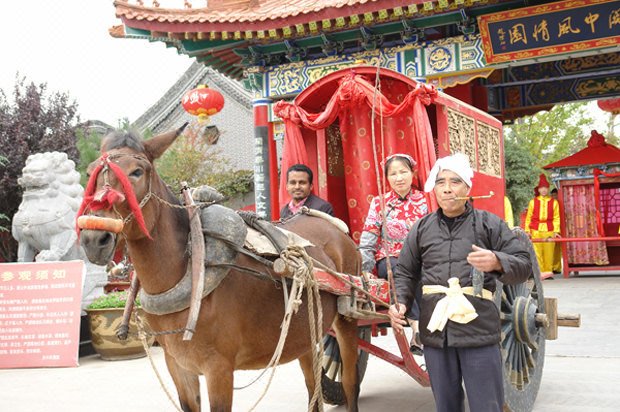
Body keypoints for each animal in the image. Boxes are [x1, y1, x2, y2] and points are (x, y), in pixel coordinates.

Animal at [78, 126, 360, 412]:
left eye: (136, 171)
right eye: (90, 174)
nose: (94, 237)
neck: (188, 271)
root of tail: (334, 226)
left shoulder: (219, 368)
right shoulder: (177, 364)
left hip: (348, 317)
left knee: (351, 382)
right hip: (304, 331)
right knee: (313, 386)